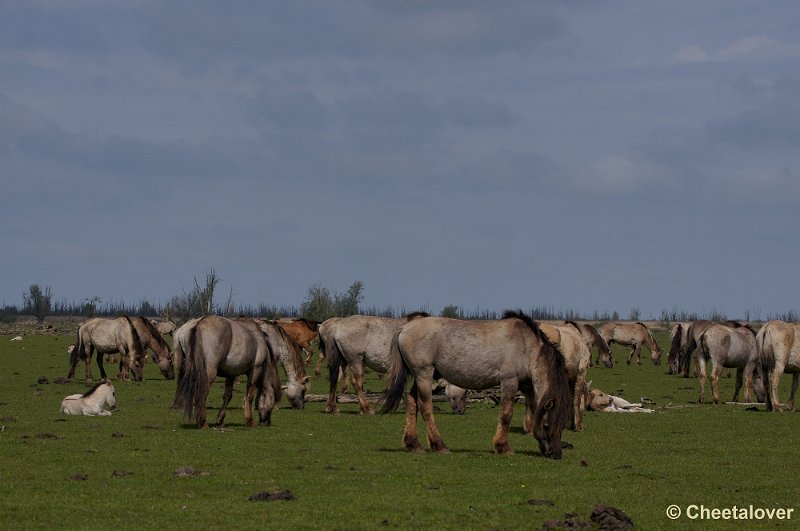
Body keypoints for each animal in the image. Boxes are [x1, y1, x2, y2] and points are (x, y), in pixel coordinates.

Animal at [382, 312, 568, 462]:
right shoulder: (509, 381)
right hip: (424, 374)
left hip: (420, 376)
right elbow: (506, 414)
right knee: (425, 407)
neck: (526, 346)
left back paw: (414, 444)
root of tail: (405, 328)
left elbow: (533, 411)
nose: (556, 454)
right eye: (547, 425)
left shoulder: (527, 387)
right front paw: (503, 447)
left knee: (412, 402)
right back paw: (439, 445)